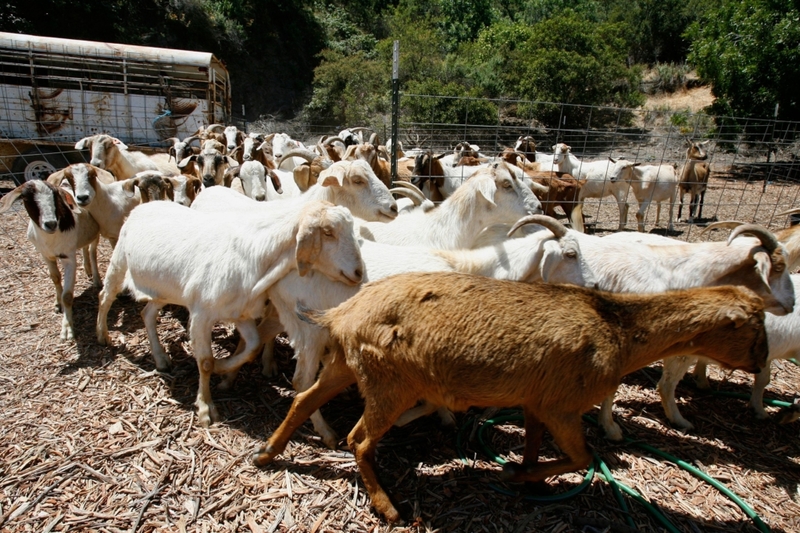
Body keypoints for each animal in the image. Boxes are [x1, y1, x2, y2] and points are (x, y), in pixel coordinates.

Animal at [0, 179, 100, 336]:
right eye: (27, 198)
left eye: (56, 197)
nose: (50, 224)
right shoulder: (45, 255)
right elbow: (55, 278)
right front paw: (58, 304)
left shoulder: (68, 256)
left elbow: (67, 295)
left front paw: (67, 328)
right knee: (85, 248)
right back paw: (87, 270)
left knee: (92, 251)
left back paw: (96, 279)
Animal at [94, 197, 366, 426]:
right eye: (328, 232)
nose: (358, 273)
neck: (253, 260)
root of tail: (145, 204)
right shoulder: (201, 313)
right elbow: (204, 362)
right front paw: (206, 408)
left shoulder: (241, 313)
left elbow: (253, 346)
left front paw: (223, 367)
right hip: (119, 260)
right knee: (105, 297)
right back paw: (102, 335)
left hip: (164, 290)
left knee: (148, 314)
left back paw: (161, 359)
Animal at [255, 272, 768, 520]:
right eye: (755, 326)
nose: (762, 362)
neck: (617, 332)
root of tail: (341, 313)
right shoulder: (562, 405)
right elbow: (584, 457)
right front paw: (517, 476)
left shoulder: (537, 402)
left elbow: (537, 443)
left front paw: (527, 475)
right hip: (389, 382)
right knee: (358, 439)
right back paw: (388, 508)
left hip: (347, 363)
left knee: (304, 400)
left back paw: (266, 455)